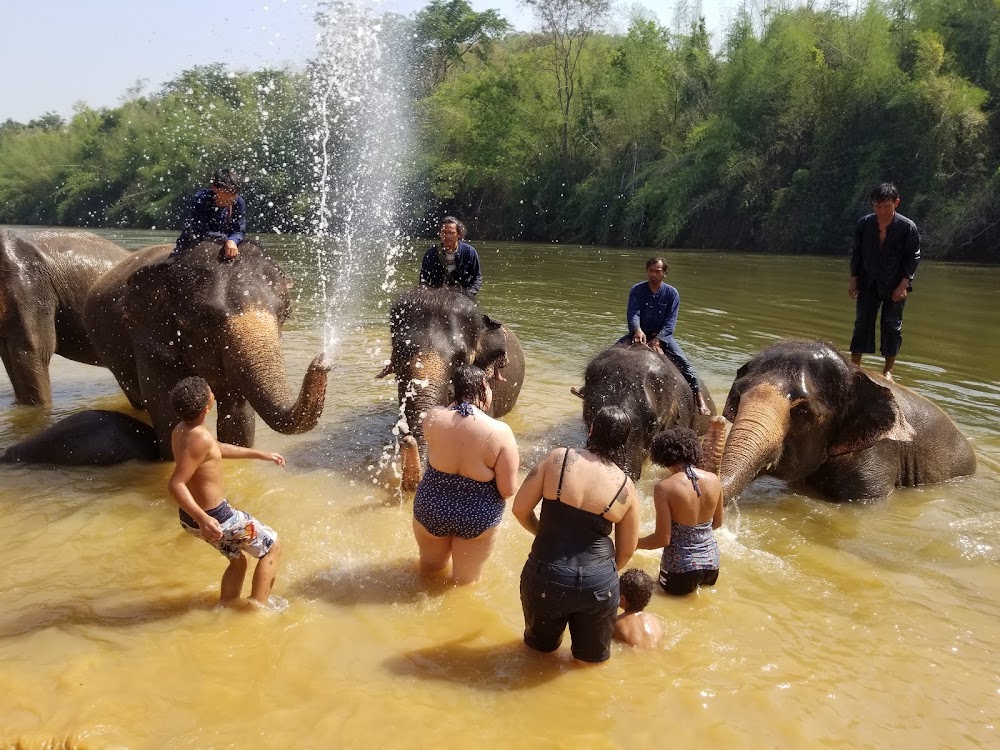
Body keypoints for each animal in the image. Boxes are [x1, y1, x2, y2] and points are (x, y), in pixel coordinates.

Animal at [76, 244, 330, 462]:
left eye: (285, 314)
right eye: (205, 320)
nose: (323, 361)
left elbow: (239, 418)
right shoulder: (150, 342)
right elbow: (169, 419)